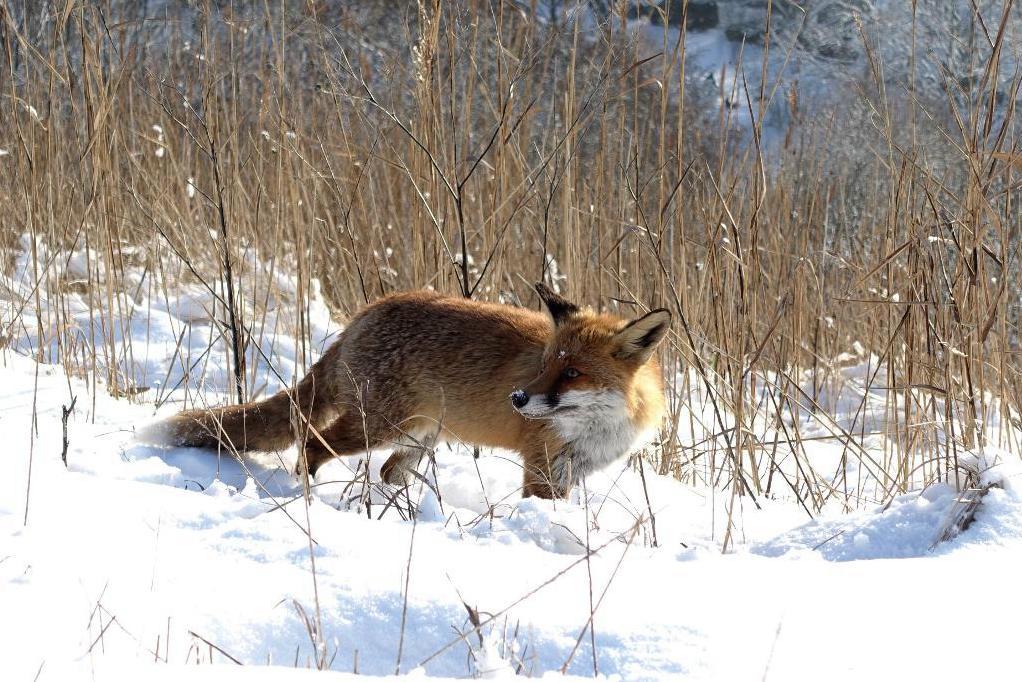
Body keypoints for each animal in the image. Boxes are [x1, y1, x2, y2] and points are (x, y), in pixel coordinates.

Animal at [151, 284, 666, 501]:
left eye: (573, 372)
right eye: (544, 367)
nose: (518, 400)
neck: (601, 426)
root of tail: (363, 316)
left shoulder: (570, 471)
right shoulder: (541, 466)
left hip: (419, 438)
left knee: (386, 471)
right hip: (378, 426)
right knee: (312, 444)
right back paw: (309, 497)